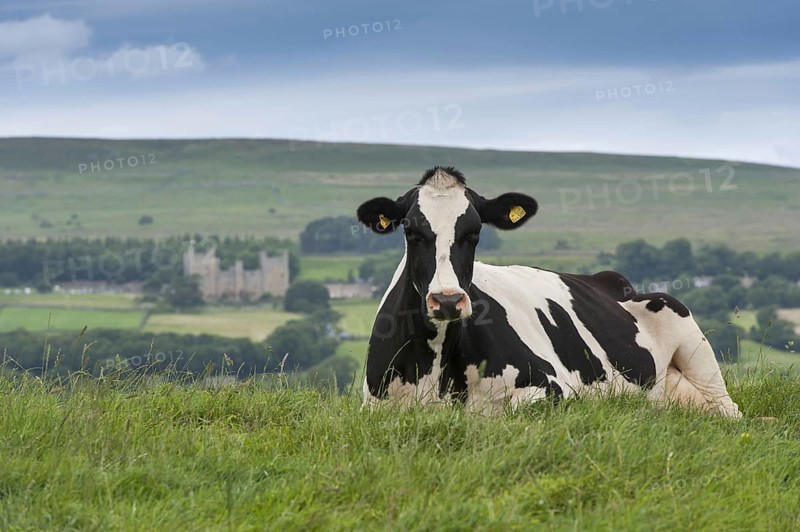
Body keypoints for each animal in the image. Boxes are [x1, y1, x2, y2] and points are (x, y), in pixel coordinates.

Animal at [356, 166, 741, 417]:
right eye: (411, 231)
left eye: (474, 232)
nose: (448, 300)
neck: (436, 366)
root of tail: (611, 279)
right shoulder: (373, 406)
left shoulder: (552, 386)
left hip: (688, 335)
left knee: (727, 408)